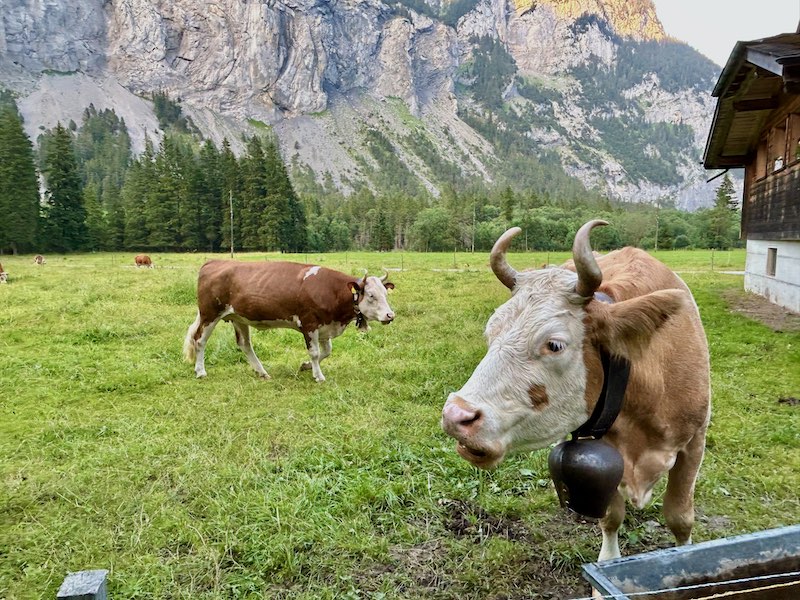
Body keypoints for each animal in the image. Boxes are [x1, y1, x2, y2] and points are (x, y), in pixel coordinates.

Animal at [181, 260, 394, 382]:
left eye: (385, 294)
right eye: (372, 295)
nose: (390, 315)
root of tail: (214, 261)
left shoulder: (325, 326)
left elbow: (327, 351)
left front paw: (305, 366)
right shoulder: (309, 323)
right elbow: (315, 353)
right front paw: (318, 375)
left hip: (238, 316)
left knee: (245, 344)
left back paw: (262, 372)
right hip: (210, 314)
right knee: (199, 340)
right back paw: (200, 371)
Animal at [440, 220, 708, 564]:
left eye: (554, 344)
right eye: (491, 331)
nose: (456, 415)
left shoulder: (695, 440)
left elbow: (680, 516)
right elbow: (611, 515)